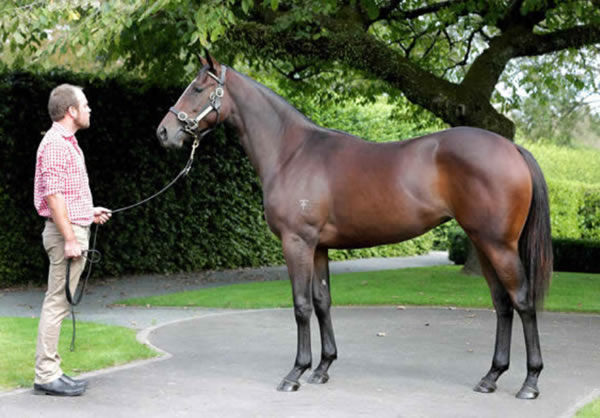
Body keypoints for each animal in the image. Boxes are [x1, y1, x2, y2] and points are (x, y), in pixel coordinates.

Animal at [156, 54, 552, 400]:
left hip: (498, 245)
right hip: (482, 243)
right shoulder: (318, 246)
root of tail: (513, 149)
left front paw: (295, 373)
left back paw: (530, 382)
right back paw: (491, 377)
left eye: (197, 87)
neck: (291, 153)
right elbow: (322, 302)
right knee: (502, 304)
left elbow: (301, 305)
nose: (163, 132)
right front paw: (322, 368)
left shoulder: (296, 242)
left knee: (521, 300)